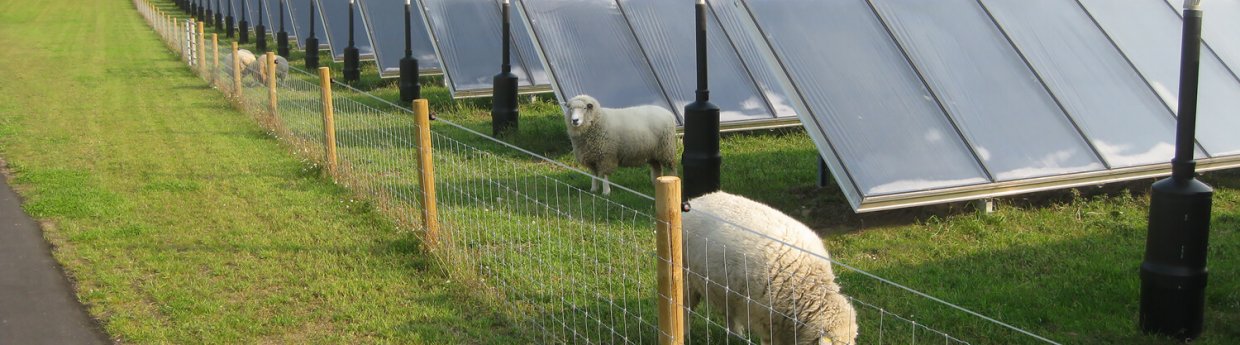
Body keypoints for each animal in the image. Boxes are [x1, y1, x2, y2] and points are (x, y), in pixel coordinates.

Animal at [679, 191, 863, 345]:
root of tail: (695, 200)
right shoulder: (766, 322)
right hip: (686, 278)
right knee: (684, 309)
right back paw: (685, 335)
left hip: (724, 288)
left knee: (728, 311)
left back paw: (736, 336)